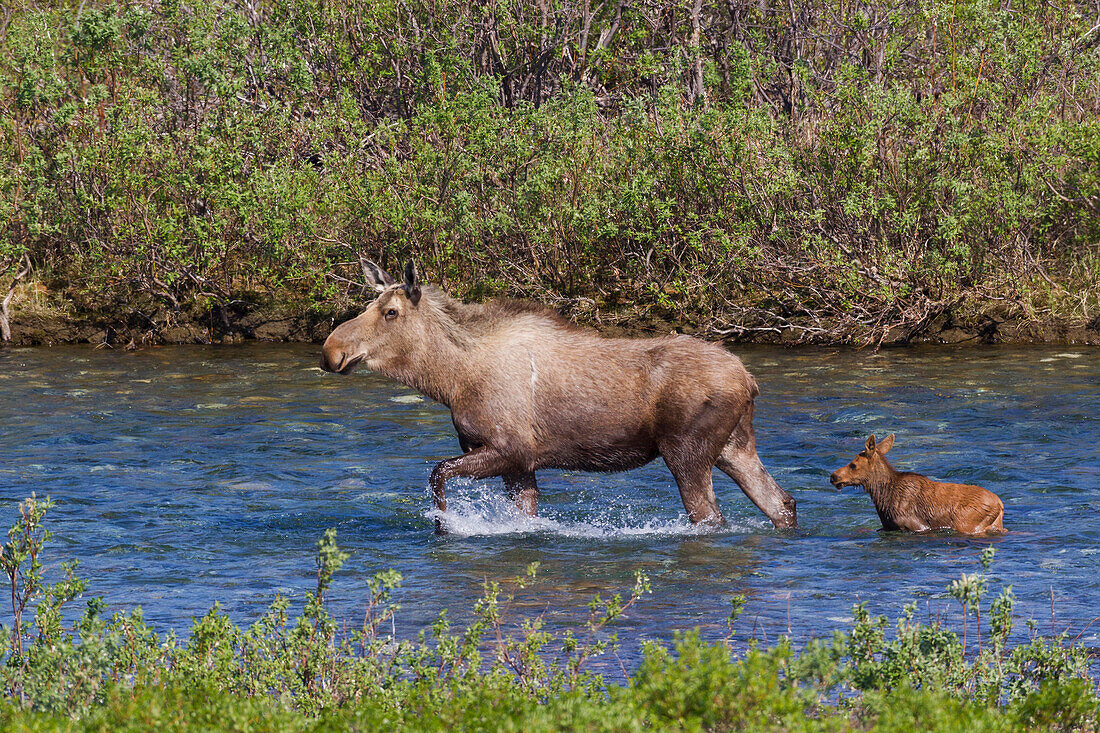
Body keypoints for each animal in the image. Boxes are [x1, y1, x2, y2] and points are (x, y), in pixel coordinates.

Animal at [827, 433, 1003, 530]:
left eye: (853, 464)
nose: (833, 476)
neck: (882, 498)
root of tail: (1000, 504)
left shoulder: (915, 525)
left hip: (967, 523)